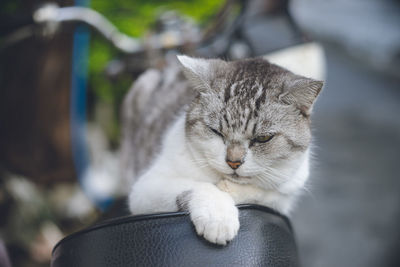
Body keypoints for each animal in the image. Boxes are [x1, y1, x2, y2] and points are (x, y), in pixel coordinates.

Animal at [123, 55, 324, 246]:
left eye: (263, 138)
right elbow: (201, 186)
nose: (233, 162)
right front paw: (218, 216)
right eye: (216, 131)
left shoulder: (287, 191)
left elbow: (263, 193)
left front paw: (230, 190)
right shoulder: (144, 188)